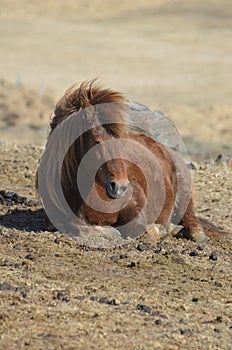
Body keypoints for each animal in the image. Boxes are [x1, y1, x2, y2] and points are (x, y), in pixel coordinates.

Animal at [37, 79, 229, 243]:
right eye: (97, 141)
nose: (120, 187)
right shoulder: (55, 219)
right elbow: (81, 228)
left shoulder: (137, 208)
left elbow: (143, 228)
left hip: (184, 194)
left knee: (190, 220)